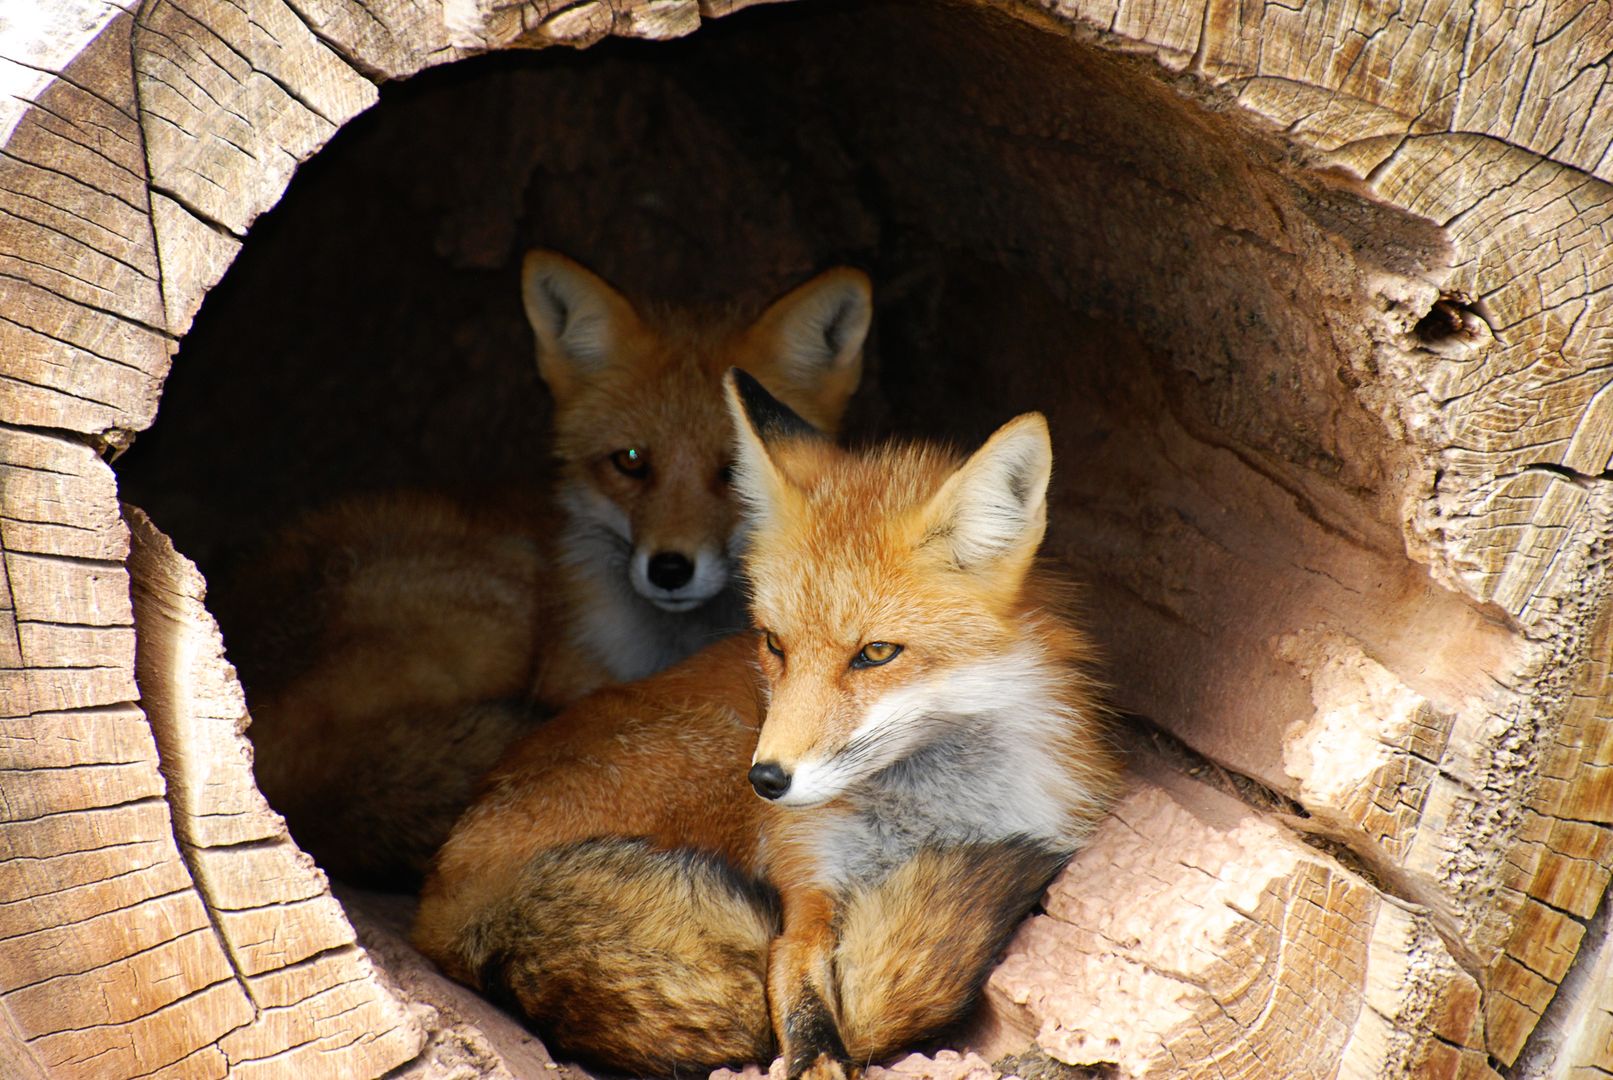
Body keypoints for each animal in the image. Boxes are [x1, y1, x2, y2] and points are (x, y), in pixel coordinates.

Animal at [416, 370, 1122, 1076]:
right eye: (774, 643)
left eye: (876, 653)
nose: (767, 781)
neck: (924, 823)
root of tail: (449, 894)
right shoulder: (803, 895)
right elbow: (809, 1017)